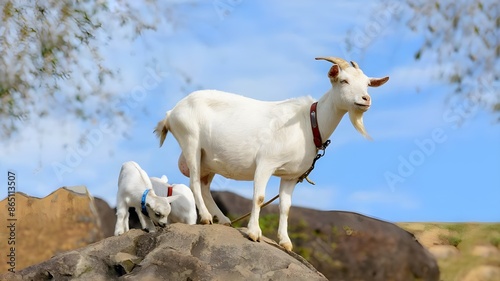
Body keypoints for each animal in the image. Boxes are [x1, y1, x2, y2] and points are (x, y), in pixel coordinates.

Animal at [154, 57, 388, 249]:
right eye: (344, 81)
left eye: (367, 84)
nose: (365, 99)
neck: (308, 123)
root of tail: (171, 113)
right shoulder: (266, 163)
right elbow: (259, 198)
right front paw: (254, 233)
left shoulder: (291, 176)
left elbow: (285, 207)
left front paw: (285, 242)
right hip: (191, 141)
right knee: (194, 182)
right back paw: (205, 217)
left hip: (207, 159)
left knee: (204, 186)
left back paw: (223, 220)